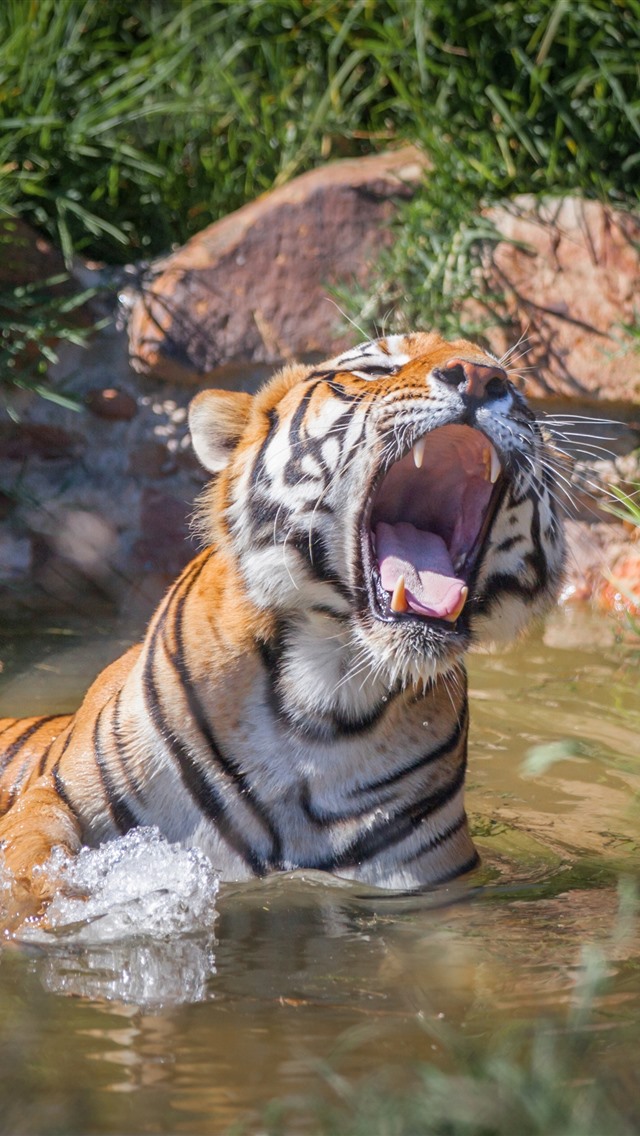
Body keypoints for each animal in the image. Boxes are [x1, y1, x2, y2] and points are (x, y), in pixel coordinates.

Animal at [0, 331, 563, 899]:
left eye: (515, 389)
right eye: (377, 368)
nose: (479, 378)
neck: (325, 696)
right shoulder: (56, 792)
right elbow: (32, 858)